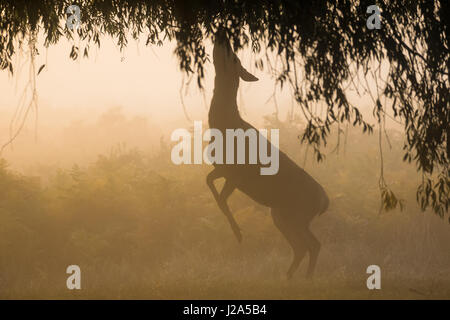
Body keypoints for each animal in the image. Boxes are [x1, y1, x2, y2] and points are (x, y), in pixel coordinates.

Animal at [207, 31, 330, 278]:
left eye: (235, 58)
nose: (222, 35)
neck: (223, 125)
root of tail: (324, 202)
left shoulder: (237, 174)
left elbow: (222, 200)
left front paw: (238, 233)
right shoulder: (221, 168)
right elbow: (210, 184)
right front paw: (236, 231)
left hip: (297, 214)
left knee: (312, 244)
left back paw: (306, 278)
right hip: (282, 215)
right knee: (302, 246)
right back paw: (290, 277)